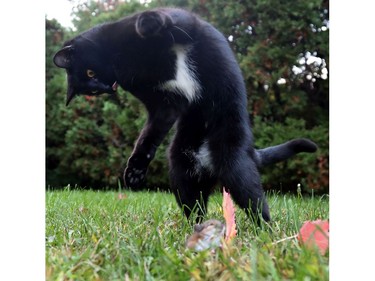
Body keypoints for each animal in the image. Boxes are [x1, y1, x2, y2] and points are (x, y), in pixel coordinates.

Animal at [53, 7, 318, 222]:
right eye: (92, 88)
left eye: (90, 73)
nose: (106, 87)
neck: (126, 61)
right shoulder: (164, 102)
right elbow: (149, 135)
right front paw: (135, 170)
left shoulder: (187, 23)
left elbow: (159, 19)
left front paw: (147, 24)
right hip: (182, 170)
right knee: (196, 208)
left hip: (234, 163)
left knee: (256, 204)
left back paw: (265, 234)